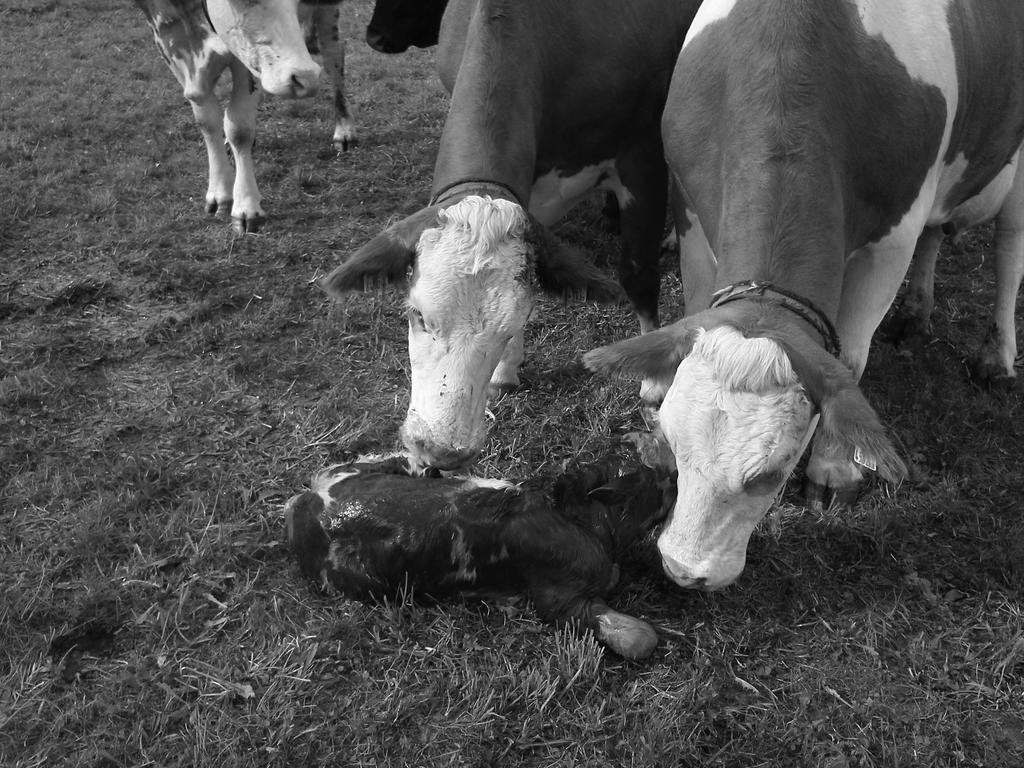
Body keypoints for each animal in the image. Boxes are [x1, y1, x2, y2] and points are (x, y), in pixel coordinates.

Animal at [135, 0, 356, 234]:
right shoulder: (169, 45)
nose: (306, 77)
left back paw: (344, 130)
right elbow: (207, 122)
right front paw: (219, 193)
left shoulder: (246, 61)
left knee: (334, 56)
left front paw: (246, 207)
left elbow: (239, 129)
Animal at [323, 0, 708, 473]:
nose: (440, 451)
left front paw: (654, 380)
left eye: (508, 328)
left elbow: (638, 275)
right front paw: (506, 370)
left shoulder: (643, 155)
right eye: (417, 316)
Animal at [585, 0, 1024, 593]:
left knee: (1010, 252)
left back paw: (996, 356)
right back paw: (916, 313)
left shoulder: (893, 238)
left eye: (771, 474)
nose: (683, 570)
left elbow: (850, 363)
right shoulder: (692, 211)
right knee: (939, 237)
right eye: (673, 442)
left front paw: (833, 467)